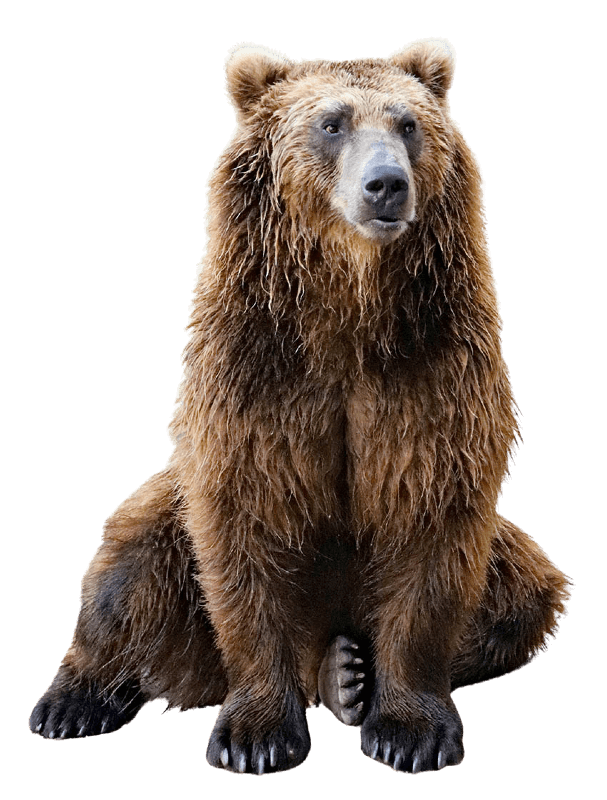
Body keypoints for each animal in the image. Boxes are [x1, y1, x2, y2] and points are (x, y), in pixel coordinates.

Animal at [29, 38, 572, 774]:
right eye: (332, 123)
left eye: (407, 123)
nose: (385, 184)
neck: (347, 310)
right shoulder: (256, 377)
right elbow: (246, 530)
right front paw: (255, 737)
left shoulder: (431, 373)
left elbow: (430, 526)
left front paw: (410, 732)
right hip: (166, 510)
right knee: (125, 571)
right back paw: (73, 702)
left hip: (512, 560)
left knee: (524, 597)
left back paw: (344, 676)